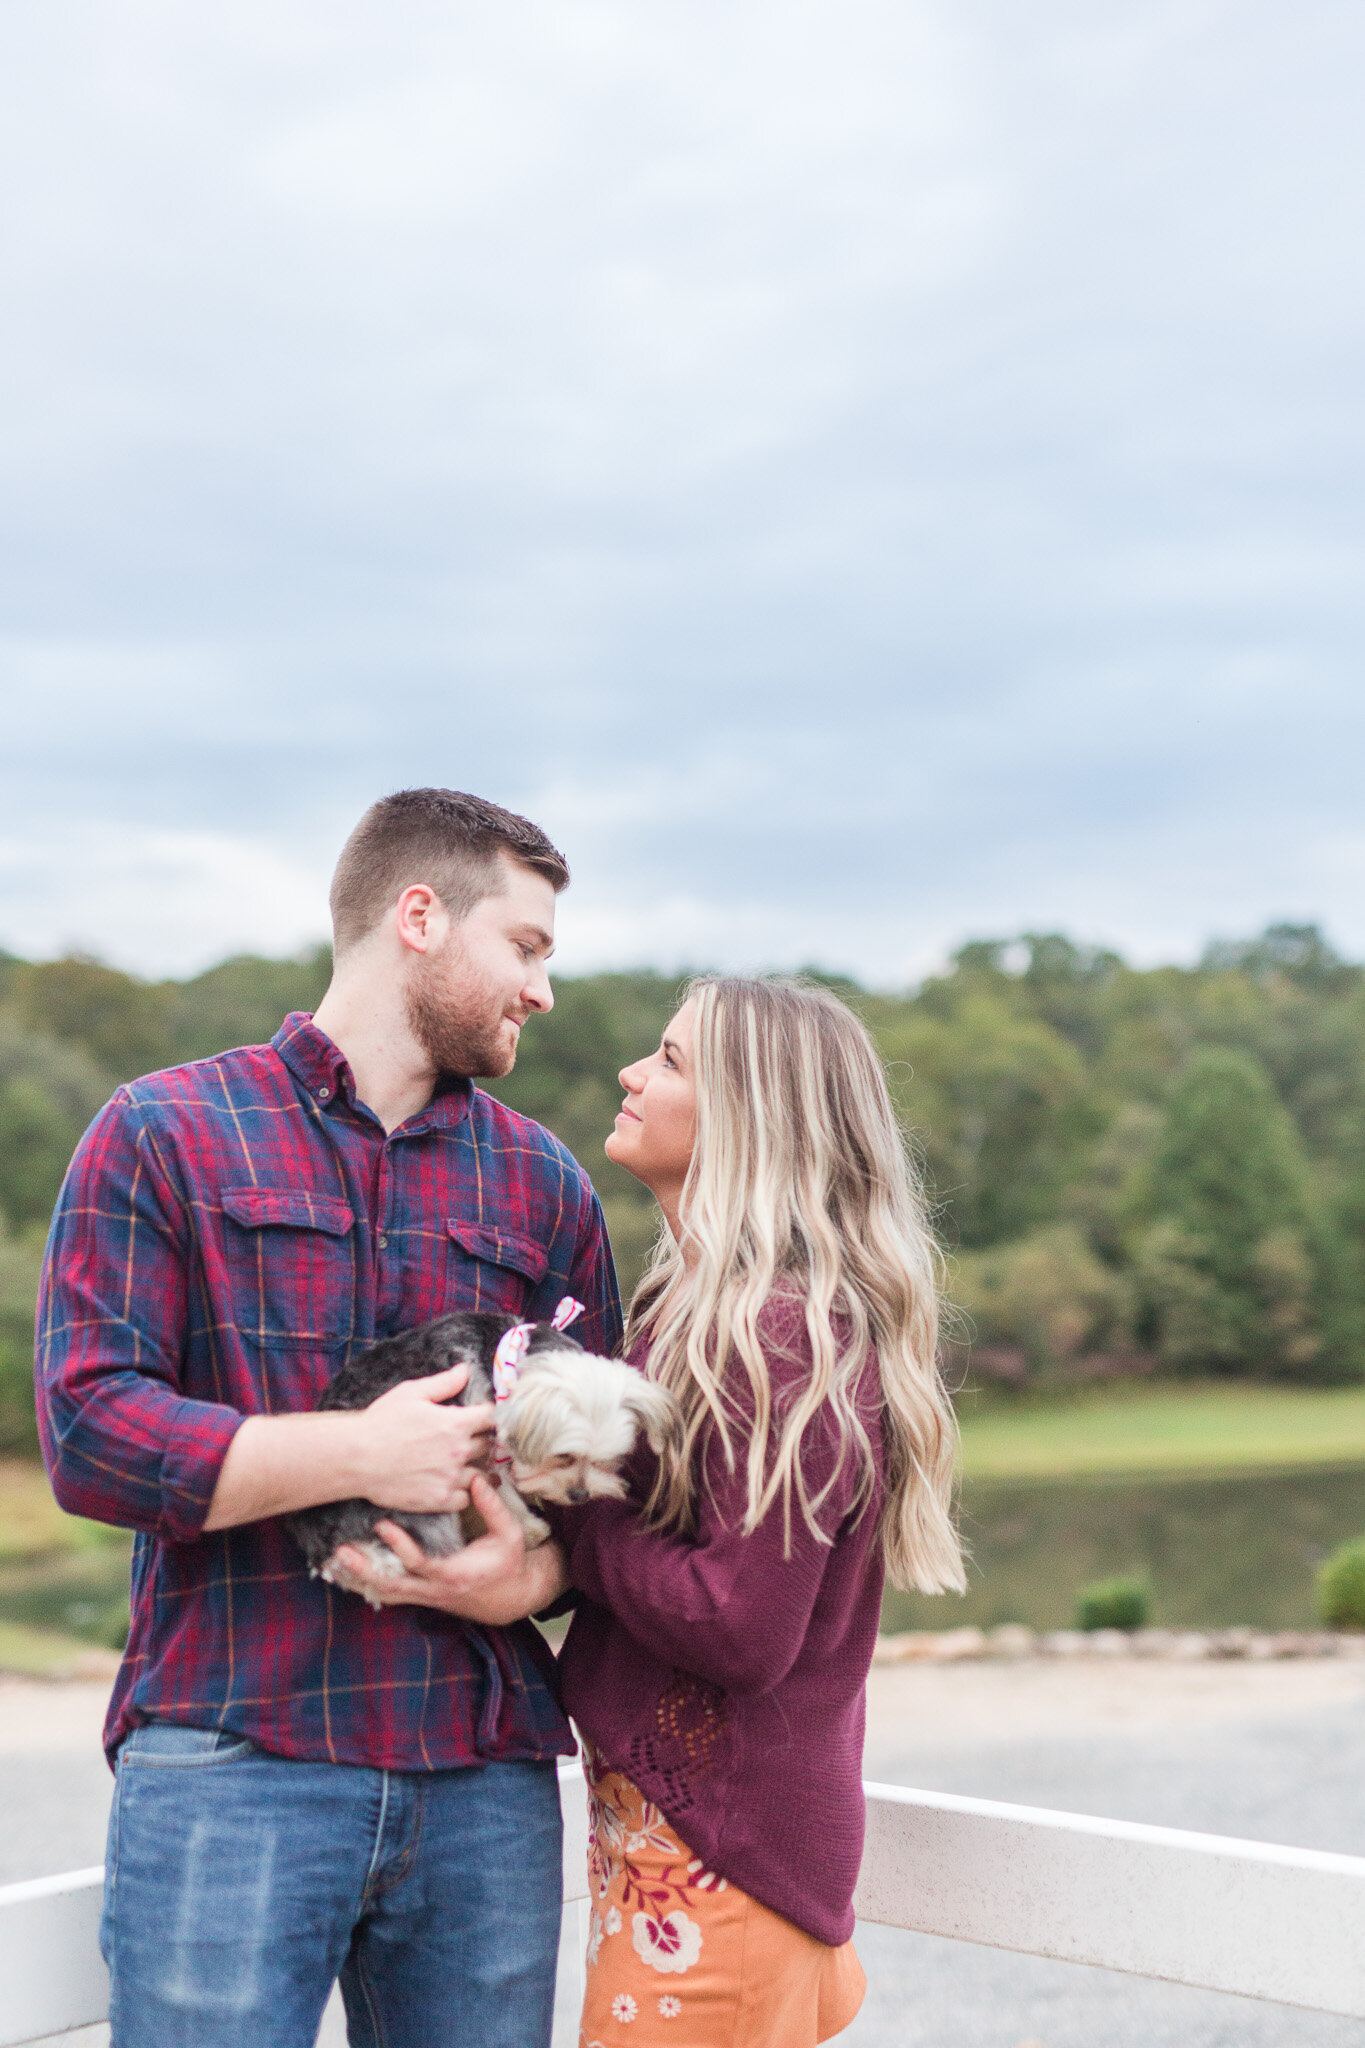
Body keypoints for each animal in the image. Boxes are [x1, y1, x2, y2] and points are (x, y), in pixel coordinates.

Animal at [290, 1302, 679, 1605]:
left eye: (604, 1459)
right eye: (563, 1456)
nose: (579, 1495)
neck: (502, 1354)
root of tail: (325, 1546)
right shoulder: (478, 1444)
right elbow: (502, 1490)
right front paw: (529, 1528)